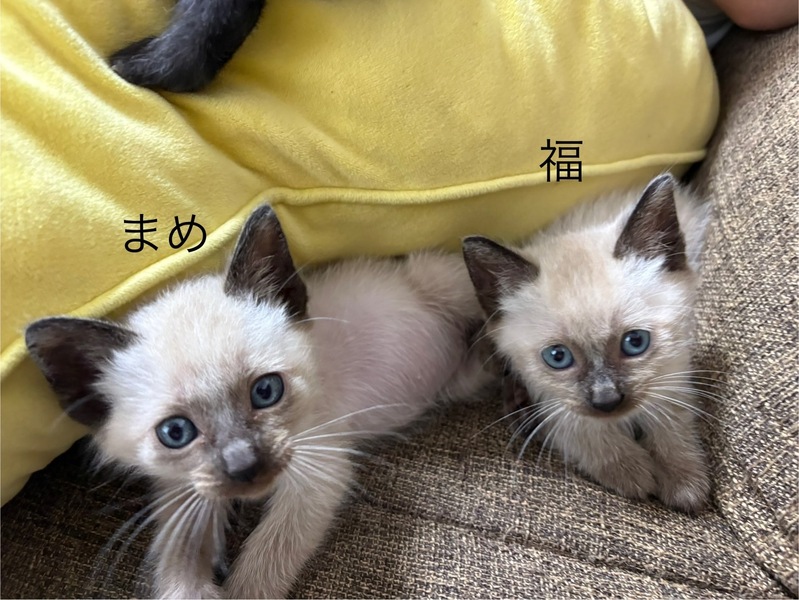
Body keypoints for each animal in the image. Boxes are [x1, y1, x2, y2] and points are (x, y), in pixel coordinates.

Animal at [25, 204, 490, 598]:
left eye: (266, 392)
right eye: (175, 433)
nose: (244, 465)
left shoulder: (318, 466)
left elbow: (264, 562)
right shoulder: (185, 494)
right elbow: (178, 568)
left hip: (443, 279)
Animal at [461, 173, 712, 514]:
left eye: (635, 342)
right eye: (558, 357)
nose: (606, 400)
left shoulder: (672, 373)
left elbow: (671, 426)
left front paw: (685, 484)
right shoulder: (555, 403)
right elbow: (585, 431)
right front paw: (633, 474)